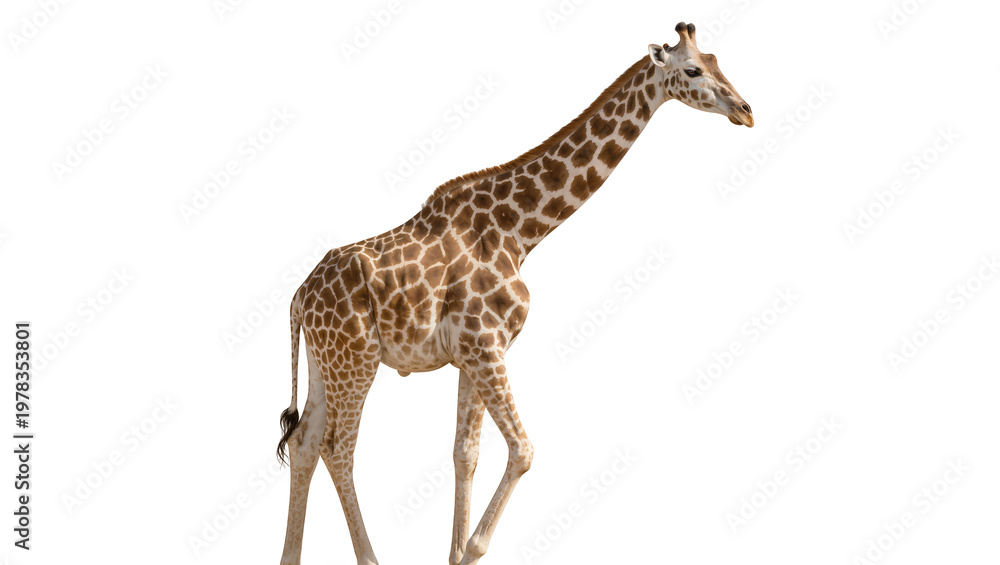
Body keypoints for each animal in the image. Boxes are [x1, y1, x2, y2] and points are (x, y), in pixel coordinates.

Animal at [277, 22, 752, 565]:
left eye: (717, 60)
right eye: (692, 70)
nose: (745, 110)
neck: (520, 231)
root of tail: (298, 298)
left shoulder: (471, 354)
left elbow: (465, 454)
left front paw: (455, 551)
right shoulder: (487, 345)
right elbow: (523, 451)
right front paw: (472, 549)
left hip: (325, 361)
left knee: (305, 442)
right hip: (356, 359)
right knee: (339, 448)